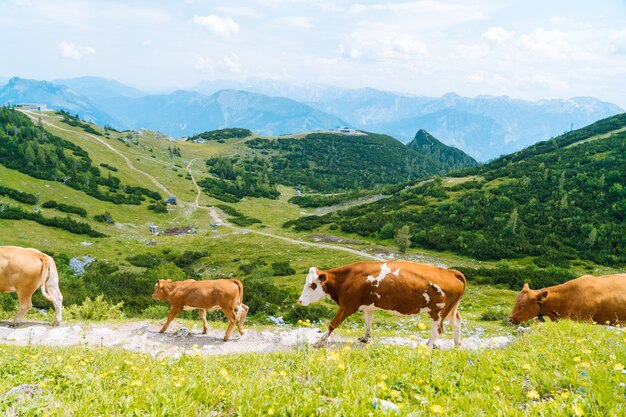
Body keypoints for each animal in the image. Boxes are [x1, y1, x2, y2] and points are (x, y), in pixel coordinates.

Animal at [296, 260, 464, 348]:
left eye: (312, 285)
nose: (300, 300)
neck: (347, 278)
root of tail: (450, 272)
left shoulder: (348, 305)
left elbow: (333, 324)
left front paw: (319, 341)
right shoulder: (368, 306)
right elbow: (368, 322)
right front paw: (365, 338)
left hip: (437, 311)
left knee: (438, 330)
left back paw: (428, 347)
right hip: (450, 309)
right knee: (456, 322)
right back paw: (456, 344)